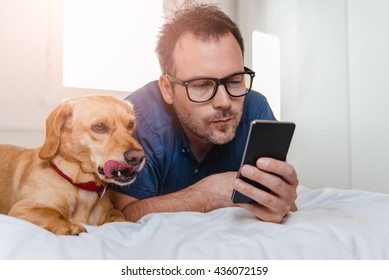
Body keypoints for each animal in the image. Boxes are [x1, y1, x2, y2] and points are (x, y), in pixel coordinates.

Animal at [0, 95, 144, 234]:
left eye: (131, 124)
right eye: (99, 126)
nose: (138, 157)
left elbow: (116, 212)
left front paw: (121, 222)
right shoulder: (22, 209)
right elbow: (52, 213)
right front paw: (69, 226)